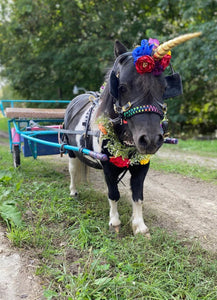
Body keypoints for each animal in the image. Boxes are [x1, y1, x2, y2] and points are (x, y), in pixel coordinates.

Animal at [63, 32, 201, 237]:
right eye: (122, 87)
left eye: (164, 89)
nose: (151, 140)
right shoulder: (108, 166)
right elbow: (113, 193)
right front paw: (114, 222)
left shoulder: (142, 165)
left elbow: (138, 195)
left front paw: (139, 226)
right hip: (71, 150)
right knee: (73, 170)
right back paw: (74, 191)